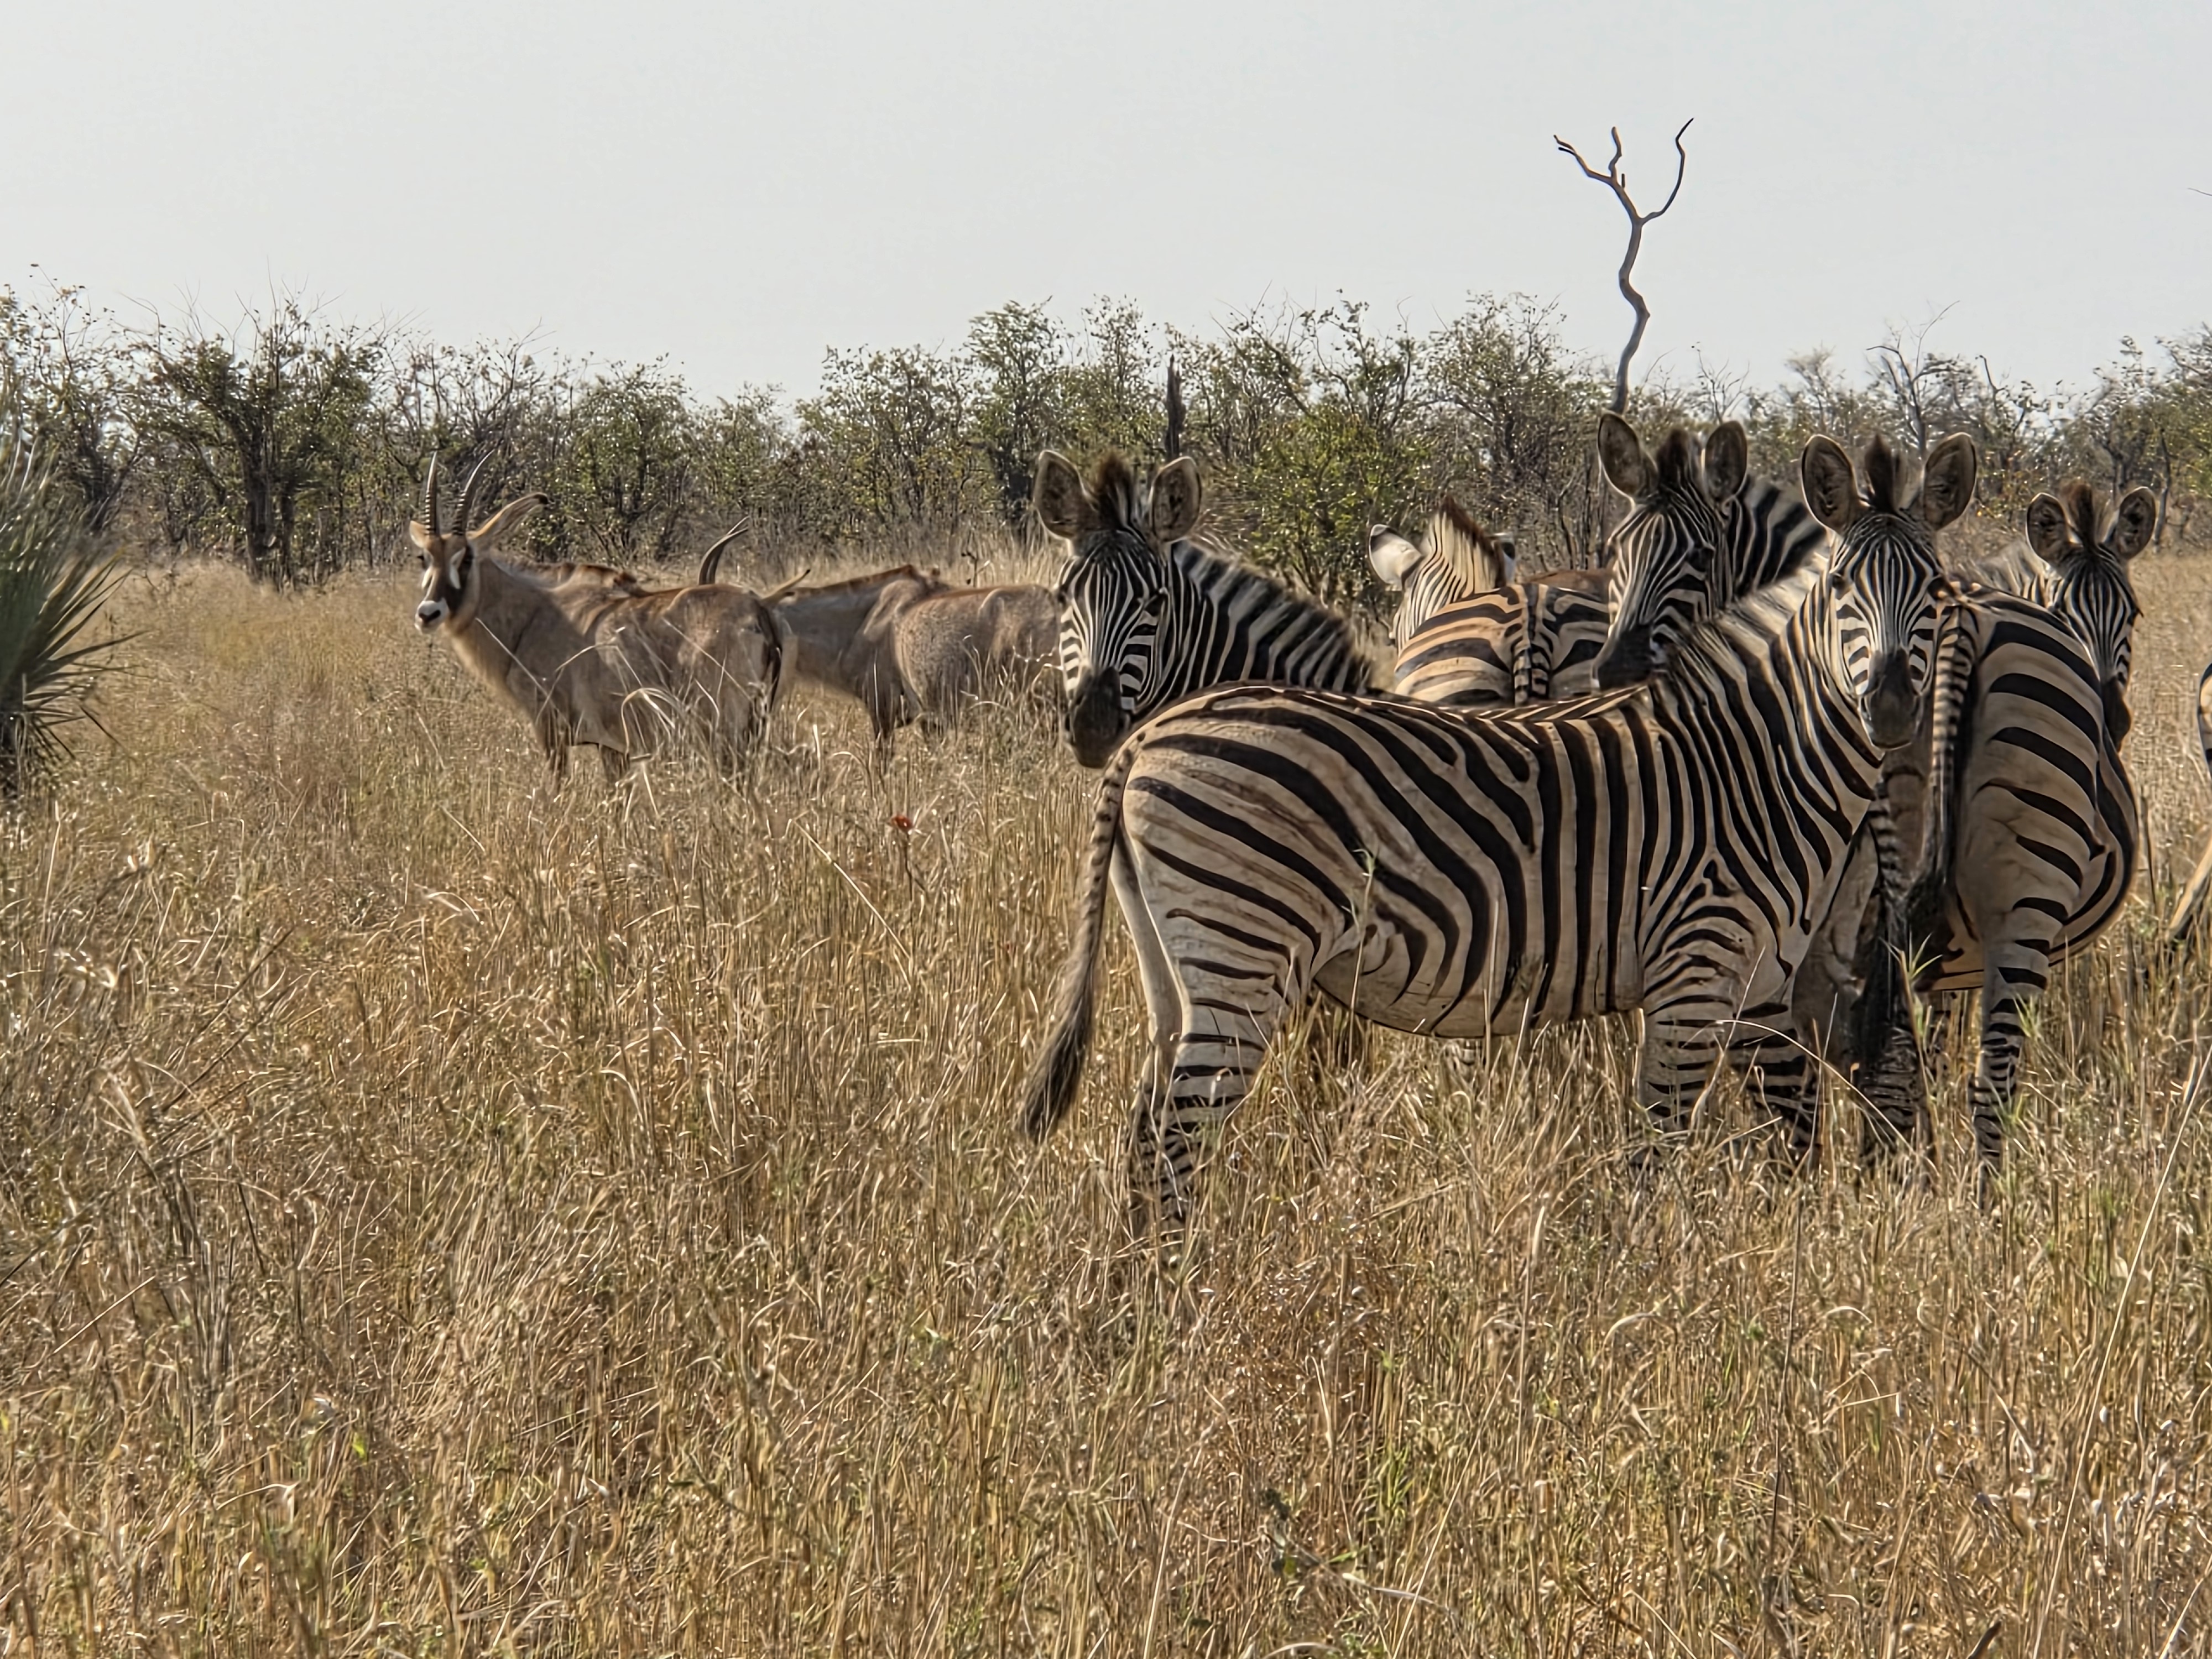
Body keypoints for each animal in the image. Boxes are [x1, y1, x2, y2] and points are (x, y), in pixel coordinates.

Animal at [1852, 479, 2154, 1166]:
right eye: (2064, 608)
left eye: (2131, 614)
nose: (2113, 721)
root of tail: (1962, 621)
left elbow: (1924, 1053)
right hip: (2025, 904)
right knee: (1992, 1085)